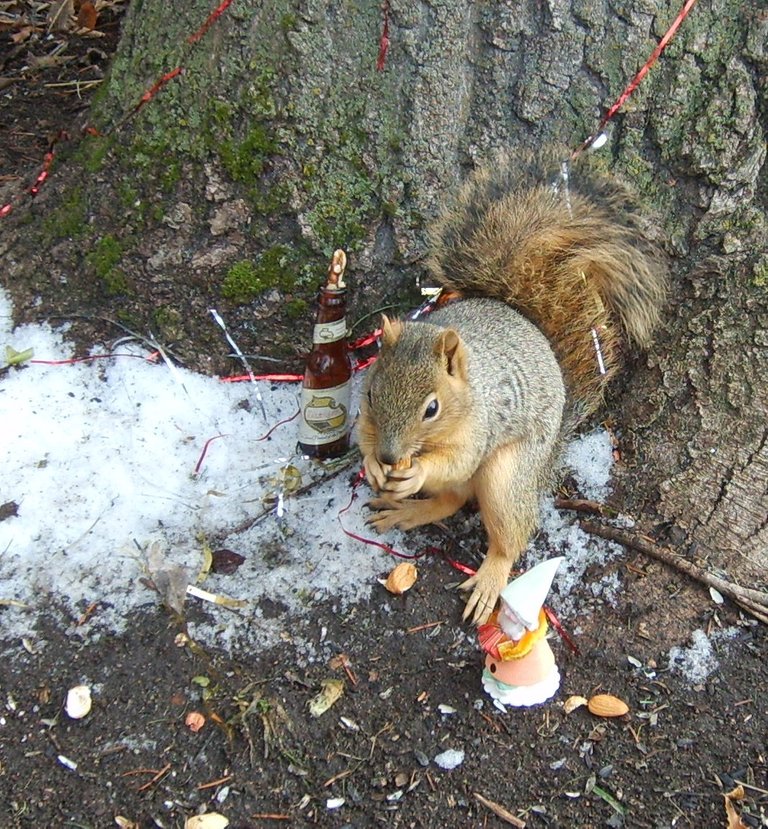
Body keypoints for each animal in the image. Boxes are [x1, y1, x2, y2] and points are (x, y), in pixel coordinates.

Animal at [358, 152, 664, 624]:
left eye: (431, 409)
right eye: (372, 394)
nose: (392, 458)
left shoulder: (479, 427)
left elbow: (458, 461)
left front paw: (415, 472)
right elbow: (362, 436)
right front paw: (373, 465)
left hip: (508, 474)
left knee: (505, 530)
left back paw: (488, 578)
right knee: (453, 500)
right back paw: (407, 510)